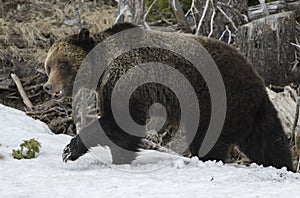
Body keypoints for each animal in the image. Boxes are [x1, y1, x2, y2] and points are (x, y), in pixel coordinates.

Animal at [43, 22, 294, 172]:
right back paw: (284, 166)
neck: (102, 66)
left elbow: (121, 123)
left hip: (218, 100)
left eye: (63, 64)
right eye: (49, 65)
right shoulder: (108, 87)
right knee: (269, 141)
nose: (48, 85)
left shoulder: (127, 77)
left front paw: (70, 150)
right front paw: (119, 158)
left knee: (209, 139)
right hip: (250, 111)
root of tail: (255, 77)